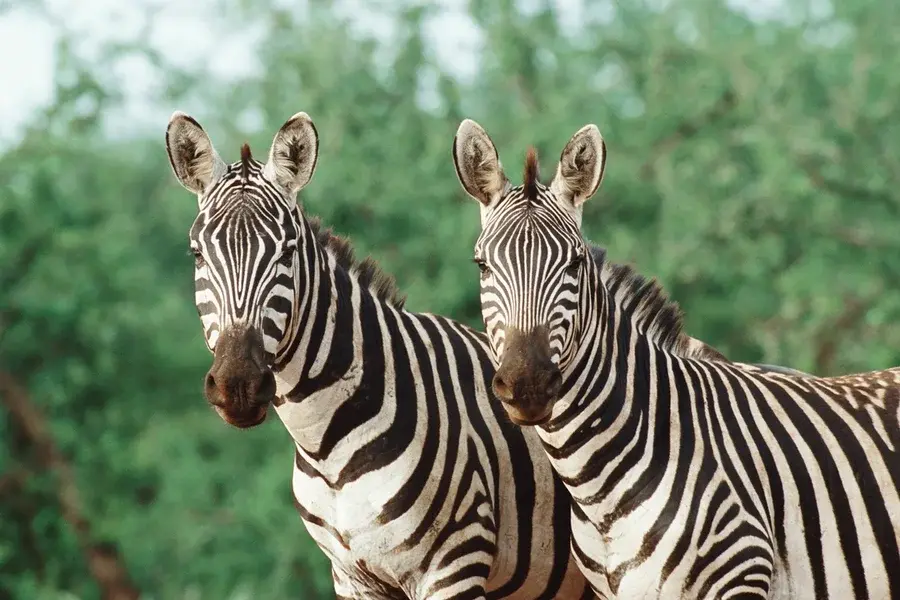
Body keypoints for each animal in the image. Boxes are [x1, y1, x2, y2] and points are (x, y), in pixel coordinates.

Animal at [164, 110, 599, 600]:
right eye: (197, 255)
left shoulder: (454, 565)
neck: (325, 446)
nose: (238, 385)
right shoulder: (351, 576)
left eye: (287, 254)